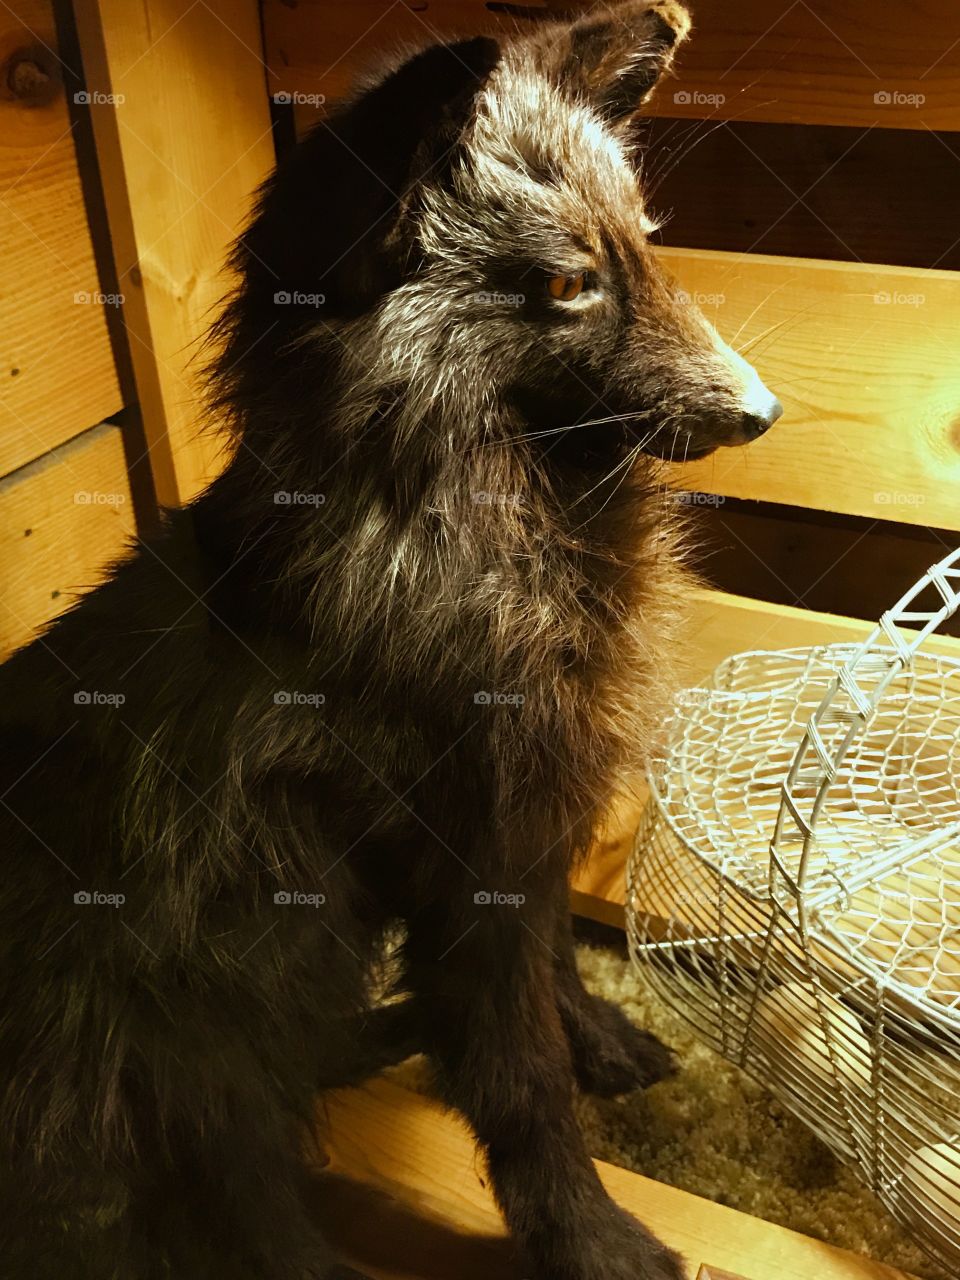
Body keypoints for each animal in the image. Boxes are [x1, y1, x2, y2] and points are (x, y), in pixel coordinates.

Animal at [0, 3, 782, 1277]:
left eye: (647, 244)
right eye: (568, 281)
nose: (763, 412)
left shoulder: (527, 830)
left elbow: (552, 971)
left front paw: (600, 1040)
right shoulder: (467, 862)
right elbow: (520, 1083)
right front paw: (589, 1235)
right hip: (195, 1055)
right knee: (261, 1217)